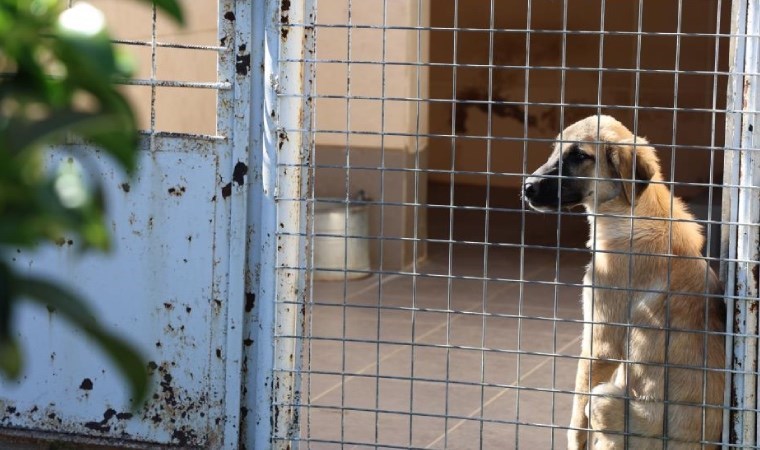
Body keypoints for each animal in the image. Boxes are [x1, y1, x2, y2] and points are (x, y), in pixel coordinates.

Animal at [524, 114, 724, 448]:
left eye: (579, 156)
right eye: (555, 151)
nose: (527, 186)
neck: (632, 212)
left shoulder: (601, 341)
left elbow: (577, 415)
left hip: (605, 399)